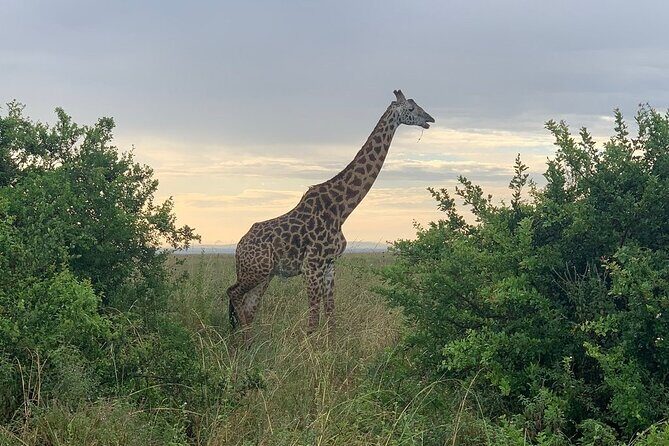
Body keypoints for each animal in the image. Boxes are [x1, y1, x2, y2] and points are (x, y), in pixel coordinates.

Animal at [226, 89, 434, 336]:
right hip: (257, 271)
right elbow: (313, 320)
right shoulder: (312, 265)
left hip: (263, 275)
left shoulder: (329, 265)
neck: (341, 209)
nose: (430, 119)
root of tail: (239, 248)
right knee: (232, 293)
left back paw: (246, 343)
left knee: (248, 309)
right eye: (411, 109)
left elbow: (331, 314)